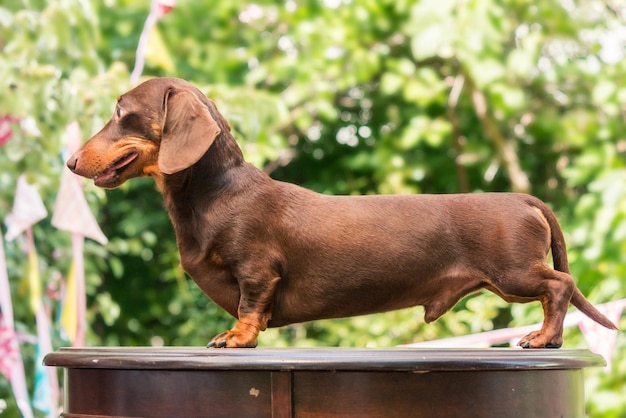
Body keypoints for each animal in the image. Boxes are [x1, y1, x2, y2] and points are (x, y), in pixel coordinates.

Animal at [67, 76, 616, 348]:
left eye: (120, 113)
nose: (70, 161)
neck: (217, 192)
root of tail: (522, 198)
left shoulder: (257, 271)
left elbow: (249, 307)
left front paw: (237, 338)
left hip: (514, 272)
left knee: (559, 286)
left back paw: (544, 338)